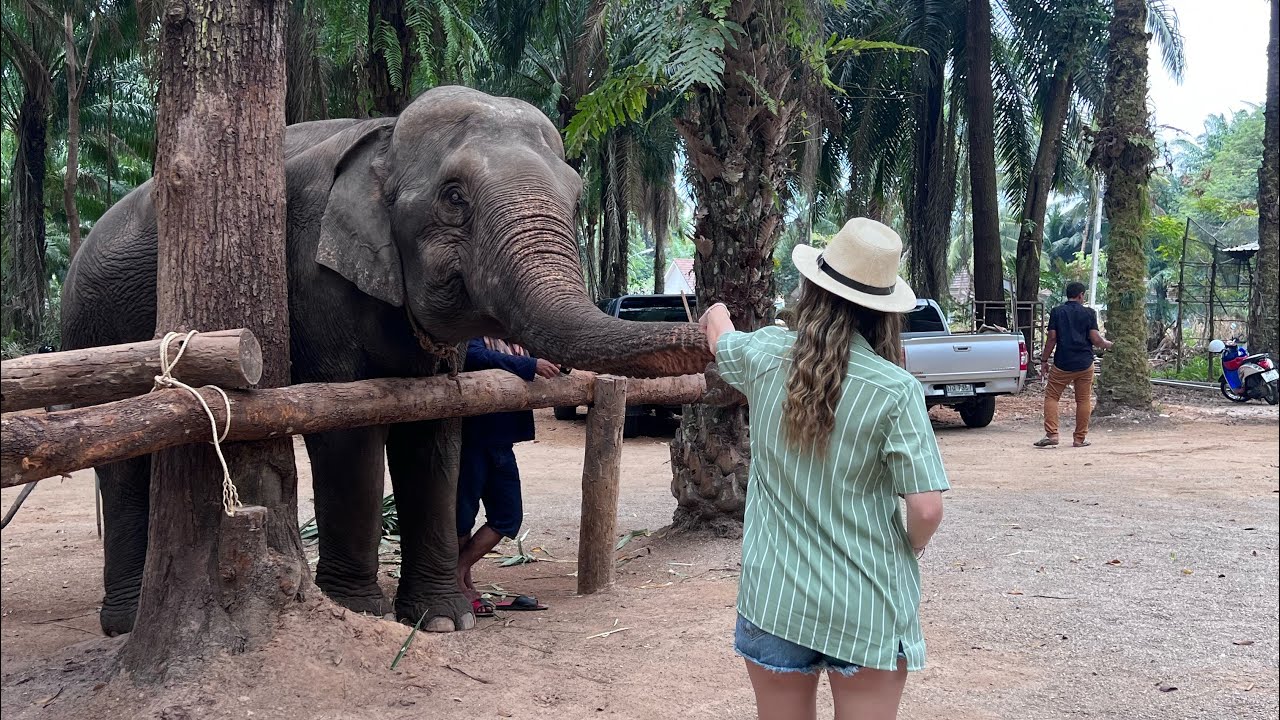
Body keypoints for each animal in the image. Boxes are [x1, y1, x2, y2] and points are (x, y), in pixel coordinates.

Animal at [61, 85, 711, 636]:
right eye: (454, 198)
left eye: (578, 198)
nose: (707, 320)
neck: (384, 132)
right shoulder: (312, 277)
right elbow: (349, 431)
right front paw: (362, 611)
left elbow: (435, 431)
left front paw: (443, 621)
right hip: (94, 324)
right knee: (122, 463)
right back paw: (124, 622)